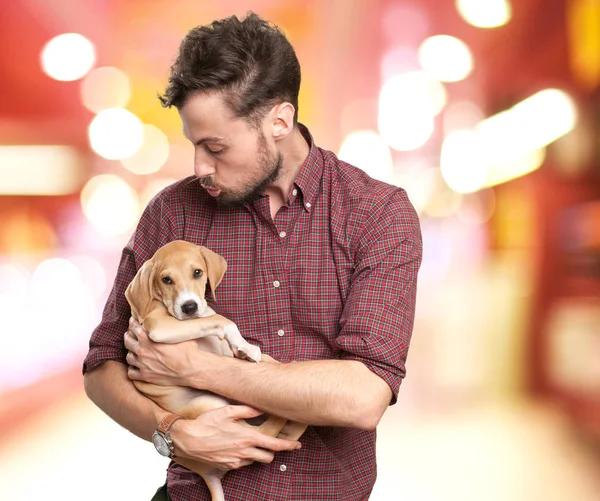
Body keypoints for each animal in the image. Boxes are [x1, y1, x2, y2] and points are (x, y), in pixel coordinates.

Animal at [125, 240, 308, 498]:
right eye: (166, 279)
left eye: (197, 272)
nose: (189, 307)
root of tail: (208, 472)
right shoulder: (161, 326)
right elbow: (223, 320)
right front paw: (245, 345)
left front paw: (245, 349)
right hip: (213, 404)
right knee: (266, 431)